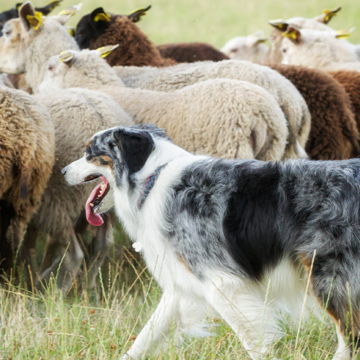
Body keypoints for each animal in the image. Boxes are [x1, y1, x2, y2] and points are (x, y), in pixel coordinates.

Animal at [63, 124, 360, 360]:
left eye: (89, 152)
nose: (63, 170)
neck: (152, 179)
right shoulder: (180, 284)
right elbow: (146, 337)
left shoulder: (222, 284)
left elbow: (255, 341)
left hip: (330, 278)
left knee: (350, 336)